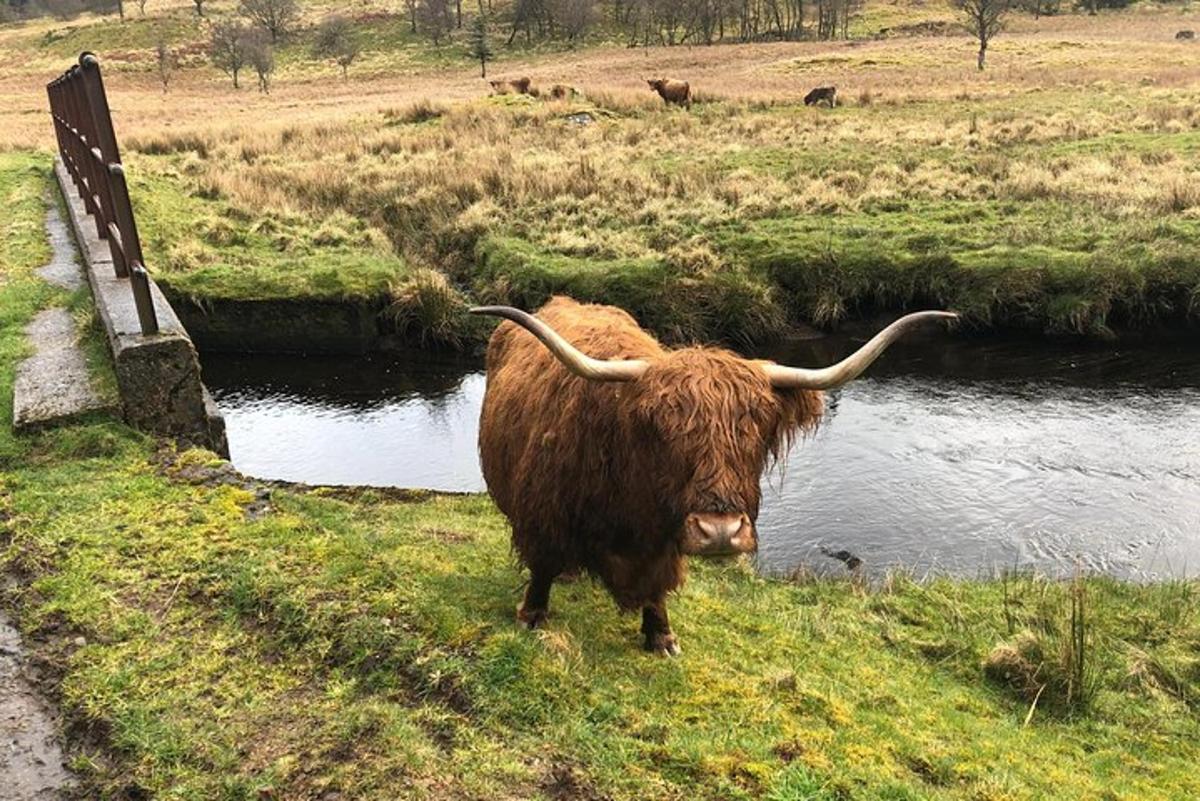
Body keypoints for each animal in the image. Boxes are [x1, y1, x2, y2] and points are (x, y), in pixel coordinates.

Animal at [472, 297, 960, 652]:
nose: (721, 531)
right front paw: (531, 617)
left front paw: (661, 636)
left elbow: (658, 588)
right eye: (659, 425)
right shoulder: (542, 518)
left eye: (759, 425)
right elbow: (542, 567)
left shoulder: (663, 543)